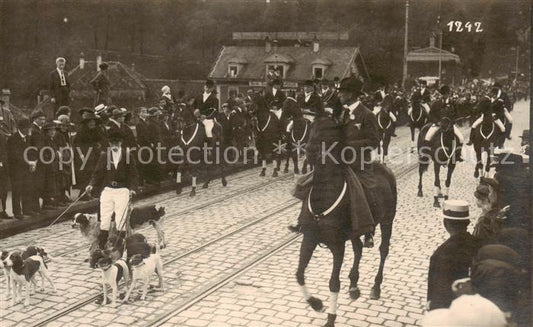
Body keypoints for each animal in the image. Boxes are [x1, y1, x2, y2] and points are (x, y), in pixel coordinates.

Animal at [296, 116, 394, 327]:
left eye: (330, 131)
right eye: (312, 127)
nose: (309, 150)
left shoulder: (337, 245)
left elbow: (334, 283)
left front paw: (331, 319)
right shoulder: (309, 239)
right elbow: (299, 274)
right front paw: (316, 303)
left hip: (388, 221)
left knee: (383, 250)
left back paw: (376, 287)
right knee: (358, 249)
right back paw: (354, 285)